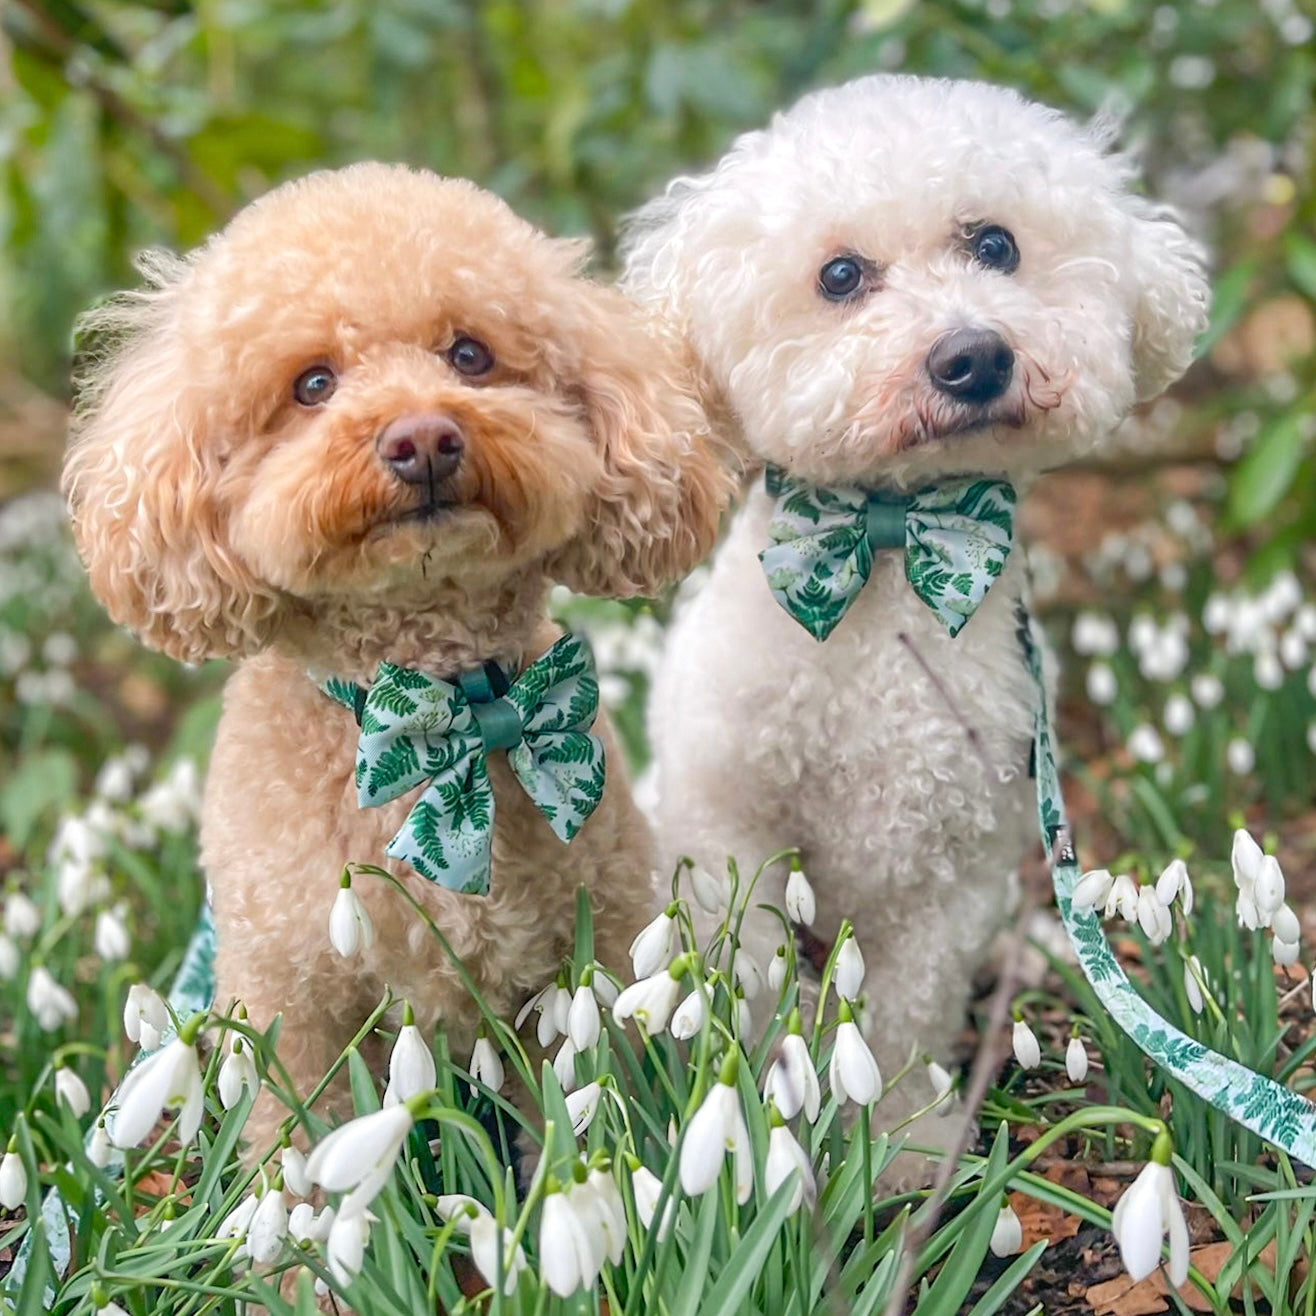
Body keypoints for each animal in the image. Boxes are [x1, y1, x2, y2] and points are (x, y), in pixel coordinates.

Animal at [621, 72, 1205, 1163]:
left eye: (995, 246)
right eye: (841, 274)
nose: (973, 355)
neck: (892, 549)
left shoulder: (957, 869)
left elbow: (899, 1016)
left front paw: (897, 1150)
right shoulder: (729, 829)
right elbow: (757, 990)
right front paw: (769, 1132)